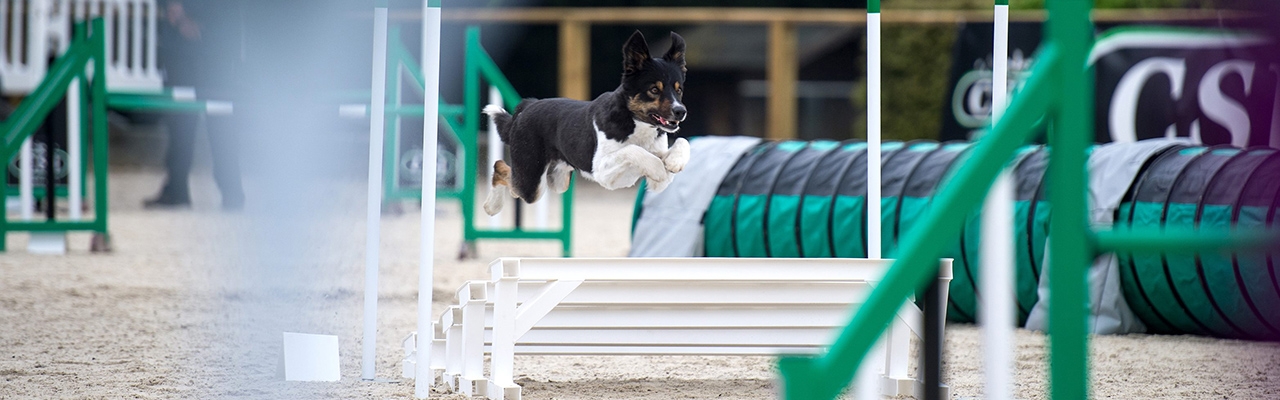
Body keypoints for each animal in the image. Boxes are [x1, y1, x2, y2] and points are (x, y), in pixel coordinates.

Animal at [481, 30, 691, 215]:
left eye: (678, 89)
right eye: (654, 90)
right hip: (531, 182)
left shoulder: (656, 182)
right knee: (500, 167)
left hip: (557, 180)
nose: (681, 112)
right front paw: (658, 168)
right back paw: (492, 206)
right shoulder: (600, 169)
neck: (636, 123)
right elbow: (633, 150)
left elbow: (681, 143)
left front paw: (674, 161)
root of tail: (528, 106)